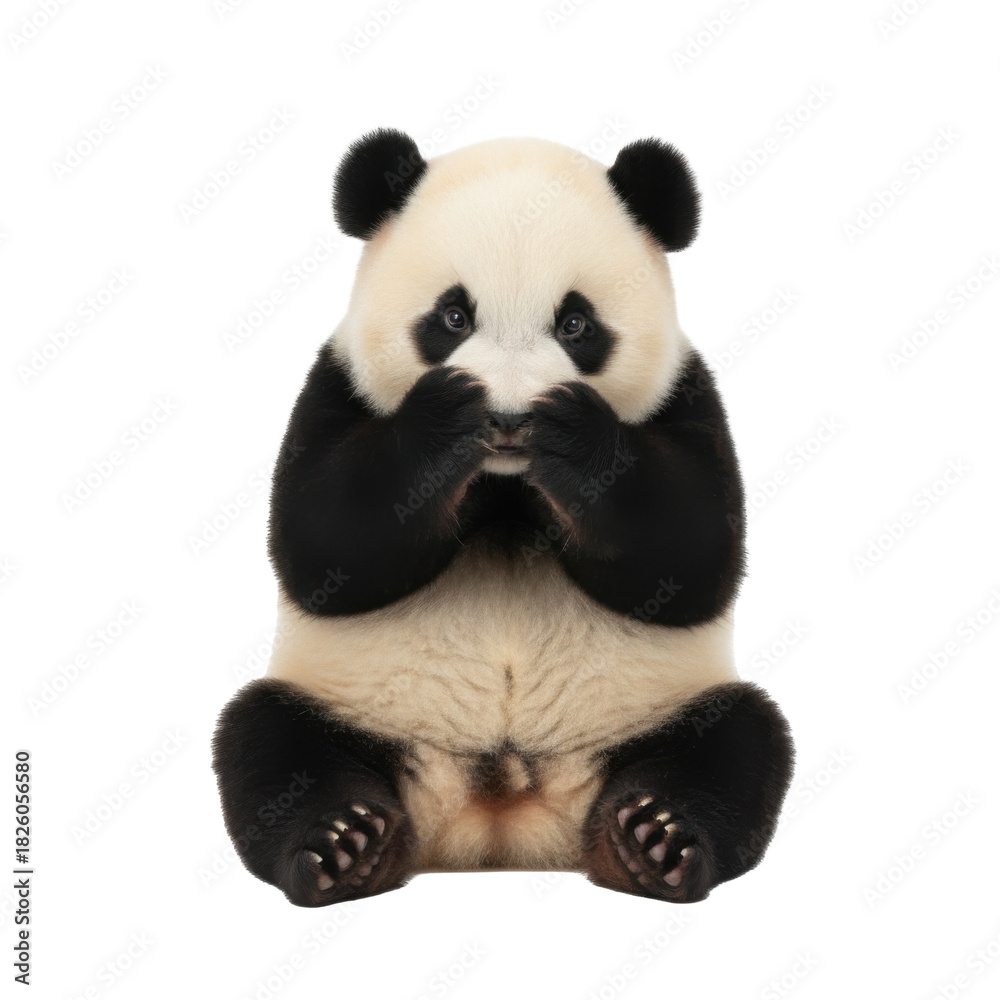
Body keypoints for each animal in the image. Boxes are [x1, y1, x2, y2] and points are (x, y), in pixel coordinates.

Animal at [212, 129, 794, 907]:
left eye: (575, 323)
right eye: (454, 316)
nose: (509, 419)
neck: (507, 490)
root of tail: (499, 814)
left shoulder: (686, 394)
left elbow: (691, 557)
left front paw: (573, 436)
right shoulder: (338, 385)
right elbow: (323, 544)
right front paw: (445, 419)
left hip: (657, 708)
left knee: (737, 742)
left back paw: (653, 839)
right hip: (348, 703)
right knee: (269, 742)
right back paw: (344, 845)